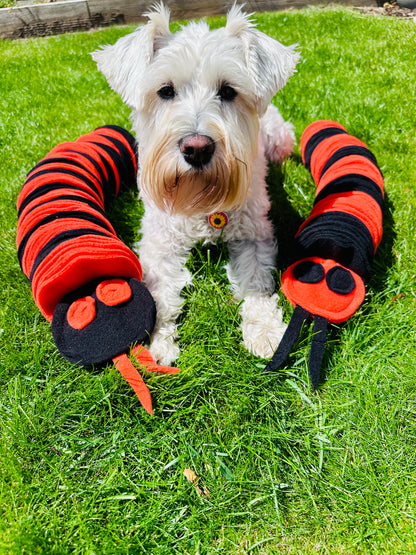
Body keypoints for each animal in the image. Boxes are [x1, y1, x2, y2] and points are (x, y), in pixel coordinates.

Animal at [91, 3, 300, 364]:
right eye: (165, 90)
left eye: (228, 90)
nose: (197, 147)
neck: (200, 198)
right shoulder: (159, 242)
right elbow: (159, 292)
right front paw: (157, 342)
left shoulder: (254, 236)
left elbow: (256, 282)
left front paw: (265, 331)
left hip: (280, 138)